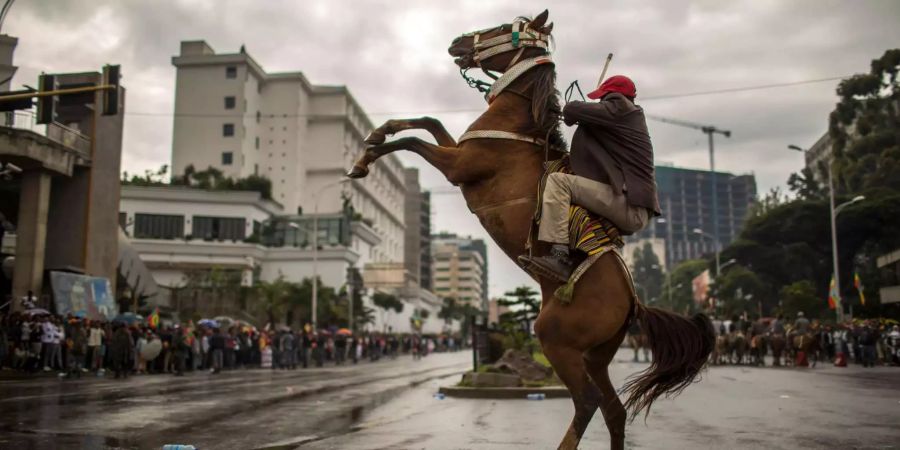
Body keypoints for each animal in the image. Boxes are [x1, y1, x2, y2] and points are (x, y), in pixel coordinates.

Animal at [348, 9, 712, 446]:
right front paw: (375, 134)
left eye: (505, 26)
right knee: (614, 410)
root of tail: (633, 302)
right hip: (596, 355)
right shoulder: (457, 151)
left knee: (587, 401)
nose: (457, 43)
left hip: (557, 342)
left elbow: (415, 142)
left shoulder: (458, 166)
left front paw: (364, 158)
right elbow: (428, 120)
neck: (518, 124)